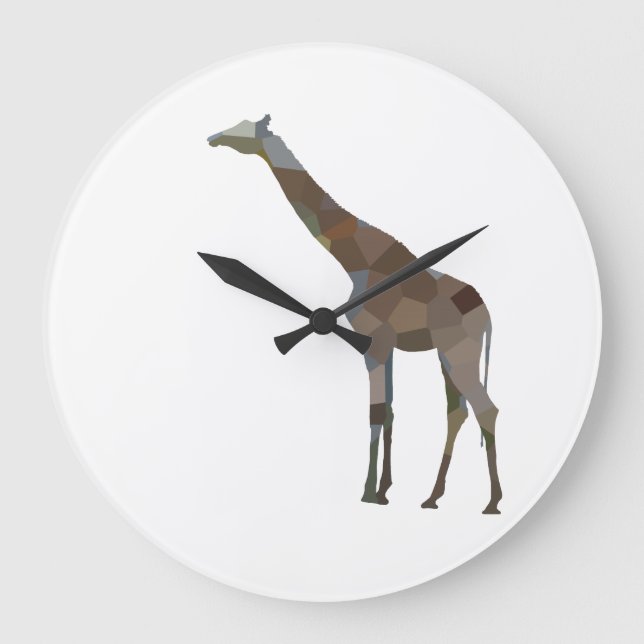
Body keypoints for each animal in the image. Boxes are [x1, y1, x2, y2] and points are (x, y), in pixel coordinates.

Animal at [207, 115, 502, 514]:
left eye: (246, 127)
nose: (213, 137)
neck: (355, 258)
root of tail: (486, 313)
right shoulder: (384, 344)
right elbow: (389, 410)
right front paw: (386, 490)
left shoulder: (374, 341)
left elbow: (376, 411)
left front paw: (368, 495)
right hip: (446, 352)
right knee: (457, 411)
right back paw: (432, 497)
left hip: (460, 349)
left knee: (486, 409)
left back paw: (493, 502)